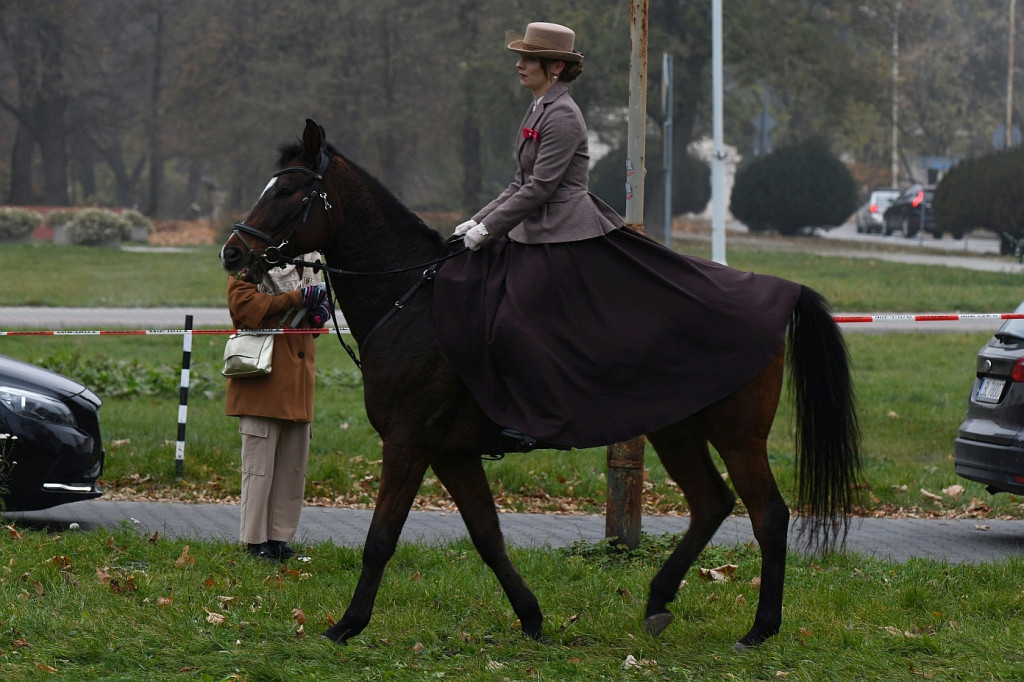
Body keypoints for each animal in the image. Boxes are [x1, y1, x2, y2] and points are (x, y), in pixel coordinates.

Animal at [220, 119, 860, 651]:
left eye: (288, 191)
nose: (232, 252)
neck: (412, 300)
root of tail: (775, 292)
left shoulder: (407, 443)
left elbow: (381, 537)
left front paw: (347, 625)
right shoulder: (451, 452)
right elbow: (487, 536)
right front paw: (530, 617)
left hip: (737, 435)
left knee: (768, 515)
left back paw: (760, 628)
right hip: (676, 428)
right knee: (711, 503)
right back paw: (658, 601)